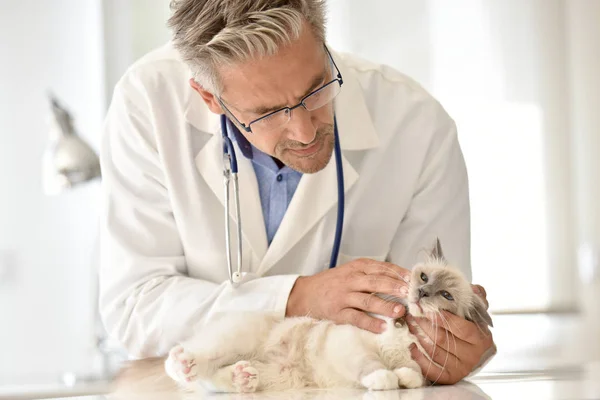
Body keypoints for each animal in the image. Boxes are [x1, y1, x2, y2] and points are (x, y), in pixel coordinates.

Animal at [113, 239, 492, 396]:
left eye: (445, 296)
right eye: (424, 278)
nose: (421, 294)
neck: (405, 331)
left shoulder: (415, 360)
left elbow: (411, 375)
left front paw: (401, 379)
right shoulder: (353, 344)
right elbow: (373, 366)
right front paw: (384, 380)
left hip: (277, 377)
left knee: (213, 379)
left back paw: (242, 378)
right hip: (234, 339)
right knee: (190, 364)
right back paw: (186, 363)